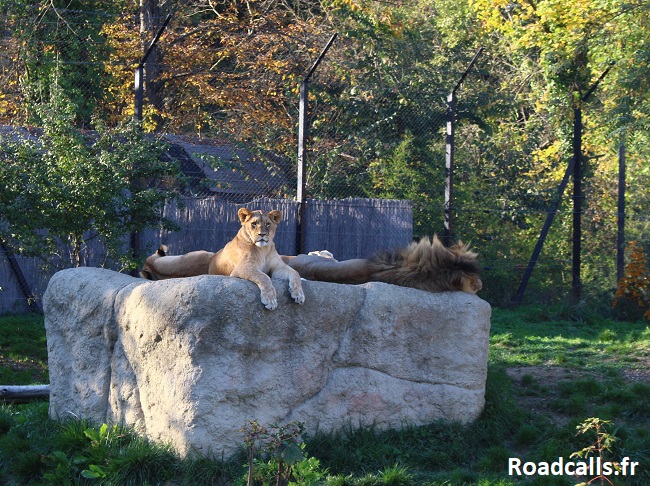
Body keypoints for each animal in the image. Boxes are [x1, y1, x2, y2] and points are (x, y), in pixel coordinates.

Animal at [140, 208, 305, 310]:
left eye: (268, 224)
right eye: (254, 224)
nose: (262, 235)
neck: (263, 249)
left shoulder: (278, 267)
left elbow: (295, 273)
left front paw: (298, 294)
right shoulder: (243, 268)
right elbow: (264, 277)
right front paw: (270, 300)